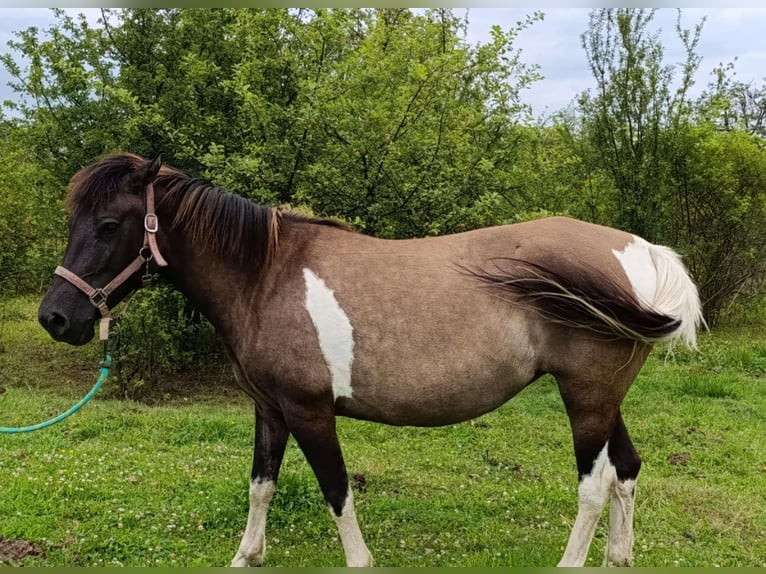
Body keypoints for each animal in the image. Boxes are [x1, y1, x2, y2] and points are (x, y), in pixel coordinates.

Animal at [39, 154, 704, 572]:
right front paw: (246, 556)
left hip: (585, 397)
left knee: (594, 483)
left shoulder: (309, 413)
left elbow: (336, 492)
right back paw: (618, 556)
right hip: (604, 396)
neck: (265, 276)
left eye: (108, 225)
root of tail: (638, 251)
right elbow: (260, 486)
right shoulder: (269, 410)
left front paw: (358, 561)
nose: (56, 318)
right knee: (626, 469)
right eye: (74, 221)